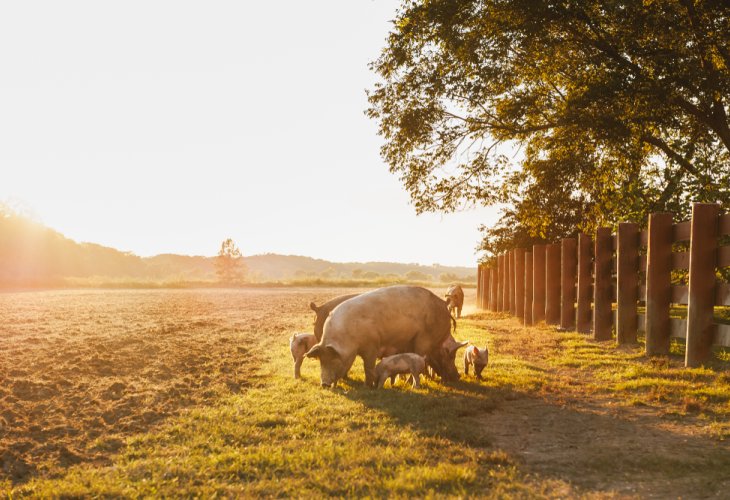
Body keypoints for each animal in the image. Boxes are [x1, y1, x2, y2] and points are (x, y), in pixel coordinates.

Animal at [304, 286, 464, 386]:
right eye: (321, 361)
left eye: (334, 359)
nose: (324, 384)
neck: (349, 339)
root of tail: (444, 305)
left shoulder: (372, 346)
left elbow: (368, 366)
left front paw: (368, 385)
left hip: (422, 340)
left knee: (418, 361)